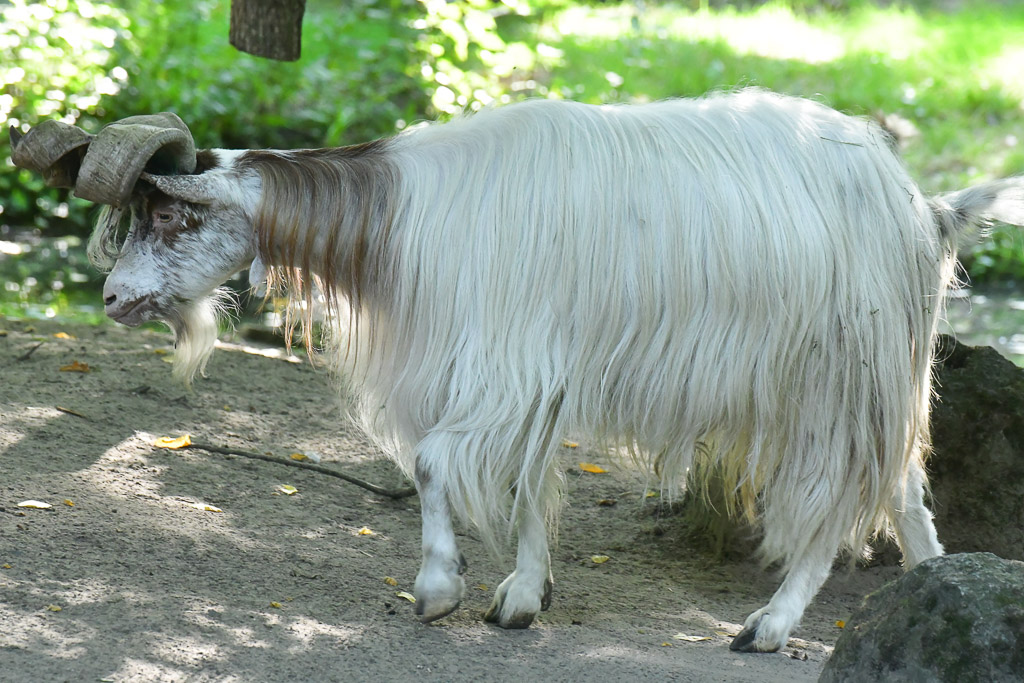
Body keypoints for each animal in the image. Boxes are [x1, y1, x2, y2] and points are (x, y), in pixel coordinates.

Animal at [12, 89, 1024, 652]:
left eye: (171, 216)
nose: (113, 298)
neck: (402, 222)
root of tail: (925, 204)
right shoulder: (525, 371)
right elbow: (531, 483)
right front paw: (521, 599)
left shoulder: (505, 363)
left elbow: (432, 462)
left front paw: (438, 590)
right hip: (873, 371)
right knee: (906, 484)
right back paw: (934, 585)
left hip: (836, 374)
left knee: (841, 497)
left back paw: (769, 626)